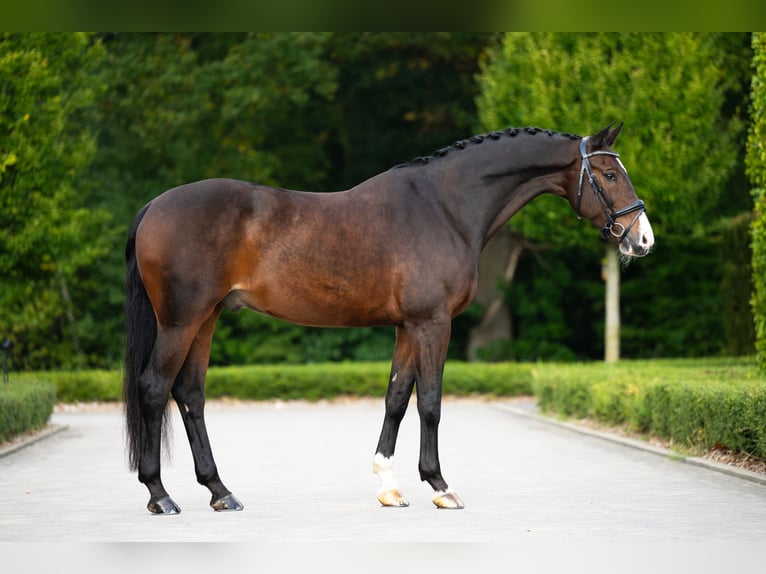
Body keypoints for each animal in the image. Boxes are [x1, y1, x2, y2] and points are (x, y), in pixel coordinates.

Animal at [123, 122, 654, 514]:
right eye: (608, 175)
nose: (643, 238)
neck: (444, 207)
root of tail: (154, 206)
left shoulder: (407, 327)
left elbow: (397, 398)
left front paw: (389, 487)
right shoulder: (433, 324)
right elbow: (431, 403)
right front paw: (440, 487)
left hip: (206, 318)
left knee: (190, 394)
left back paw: (220, 492)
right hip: (181, 321)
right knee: (154, 388)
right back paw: (160, 495)